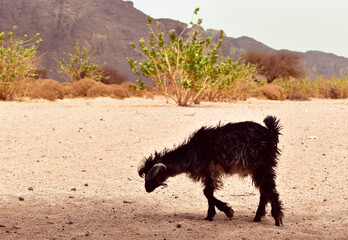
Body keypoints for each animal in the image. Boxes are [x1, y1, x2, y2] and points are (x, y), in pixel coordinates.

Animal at [138, 115, 282, 226]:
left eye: (154, 176)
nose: (147, 188)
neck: (190, 152)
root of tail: (271, 133)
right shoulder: (210, 173)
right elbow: (208, 193)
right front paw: (225, 211)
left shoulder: (208, 170)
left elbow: (207, 192)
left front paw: (212, 215)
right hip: (259, 168)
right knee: (264, 191)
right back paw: (258, 217)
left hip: (262, 165)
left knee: (270, 190)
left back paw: (277, 219)